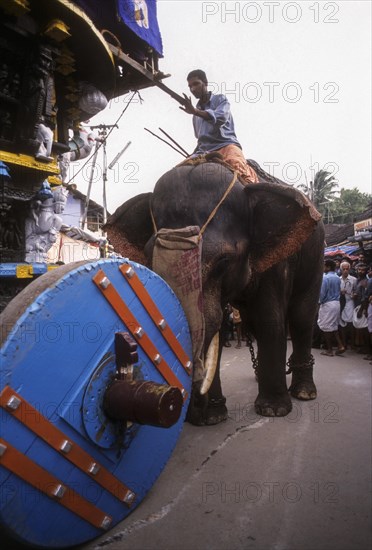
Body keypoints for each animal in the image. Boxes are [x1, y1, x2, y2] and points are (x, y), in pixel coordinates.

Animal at [105, 160, 326, 426]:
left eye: (222, 263)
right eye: (149, 259)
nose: (193, 412)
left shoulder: (276, 261)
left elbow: (268, 320)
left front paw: (273, 410)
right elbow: (218, 326)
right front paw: (211, 417)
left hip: (316, 255)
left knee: (302, 316)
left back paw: (304, 393)